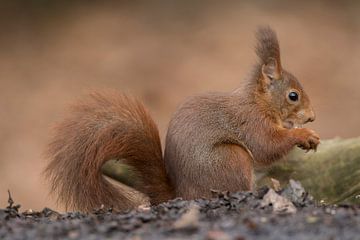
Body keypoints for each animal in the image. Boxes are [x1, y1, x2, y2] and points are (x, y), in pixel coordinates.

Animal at [43, 26, 320, 212]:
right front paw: (303, 135)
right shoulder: (250, 121)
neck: (259, 103)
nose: (312, 117)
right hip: (231, 158)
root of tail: (182, 195)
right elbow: (266, 146)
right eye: (293, 96)